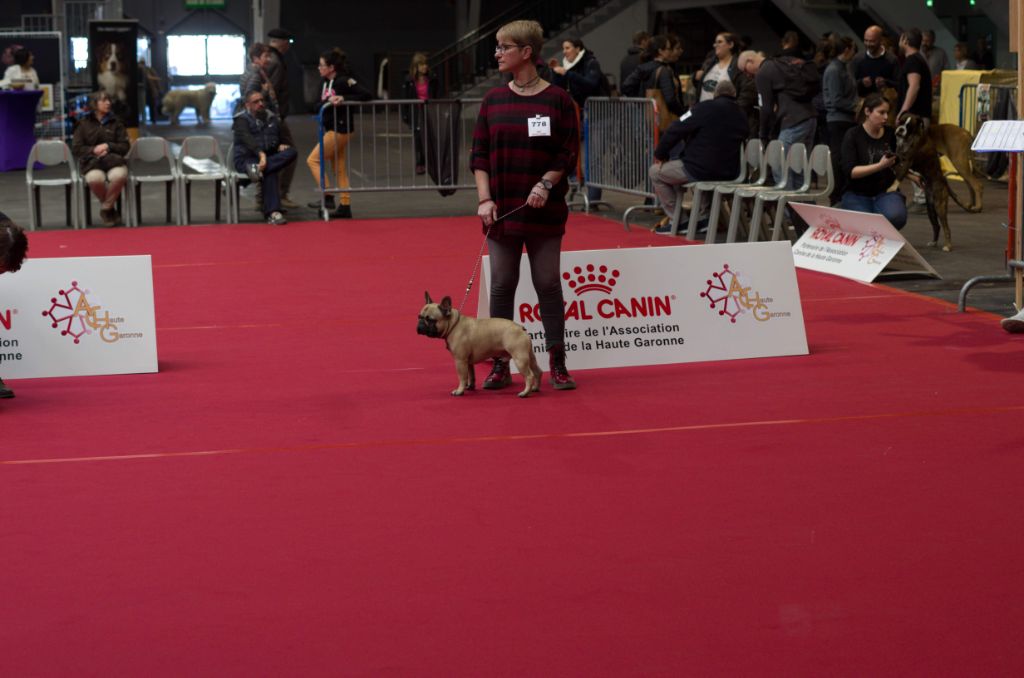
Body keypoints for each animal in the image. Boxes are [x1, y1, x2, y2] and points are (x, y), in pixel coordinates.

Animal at [893, 113, 983, 252]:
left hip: (958, 164)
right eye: (900, 121)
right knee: (970, 185)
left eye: (909, 126)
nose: (901, 130)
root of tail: (965, 131)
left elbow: (899, 175)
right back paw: (970, 205)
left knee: (976, 185)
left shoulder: (907, 161)